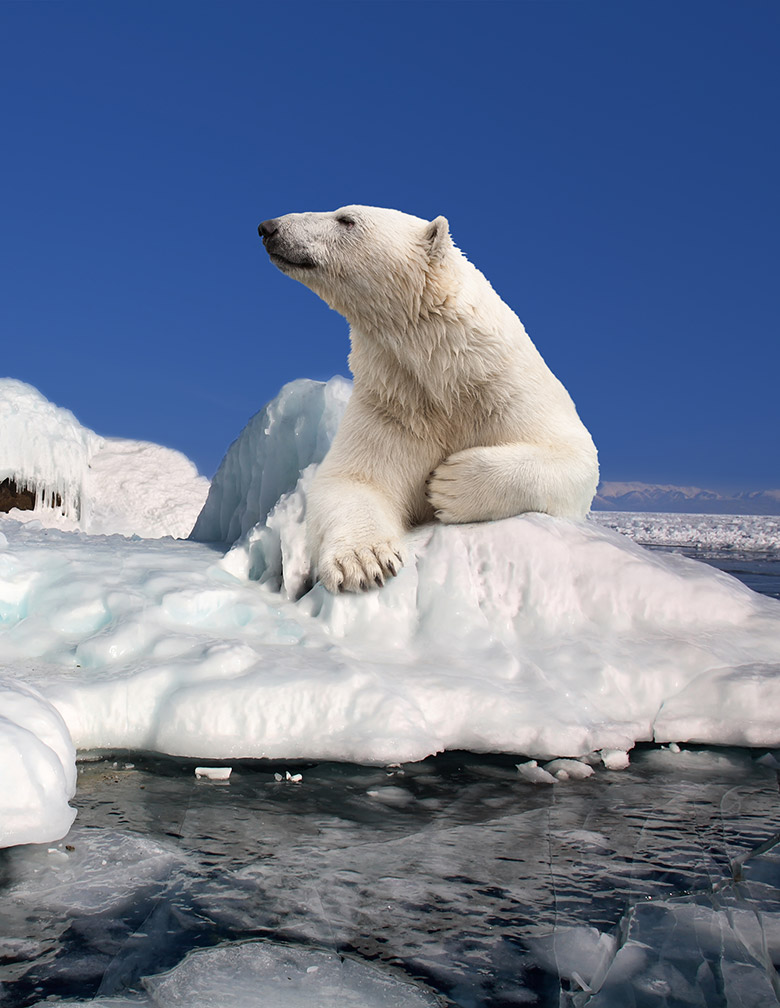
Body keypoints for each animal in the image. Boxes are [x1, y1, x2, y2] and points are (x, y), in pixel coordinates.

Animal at [260, 207, 600, 592]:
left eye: (346, 219)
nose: (269, 228)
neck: (448, 376)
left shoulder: (509, 391)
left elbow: (574, 456)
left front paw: (449, 484)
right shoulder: (393, 403)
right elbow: (355, 479)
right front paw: (364, 561)